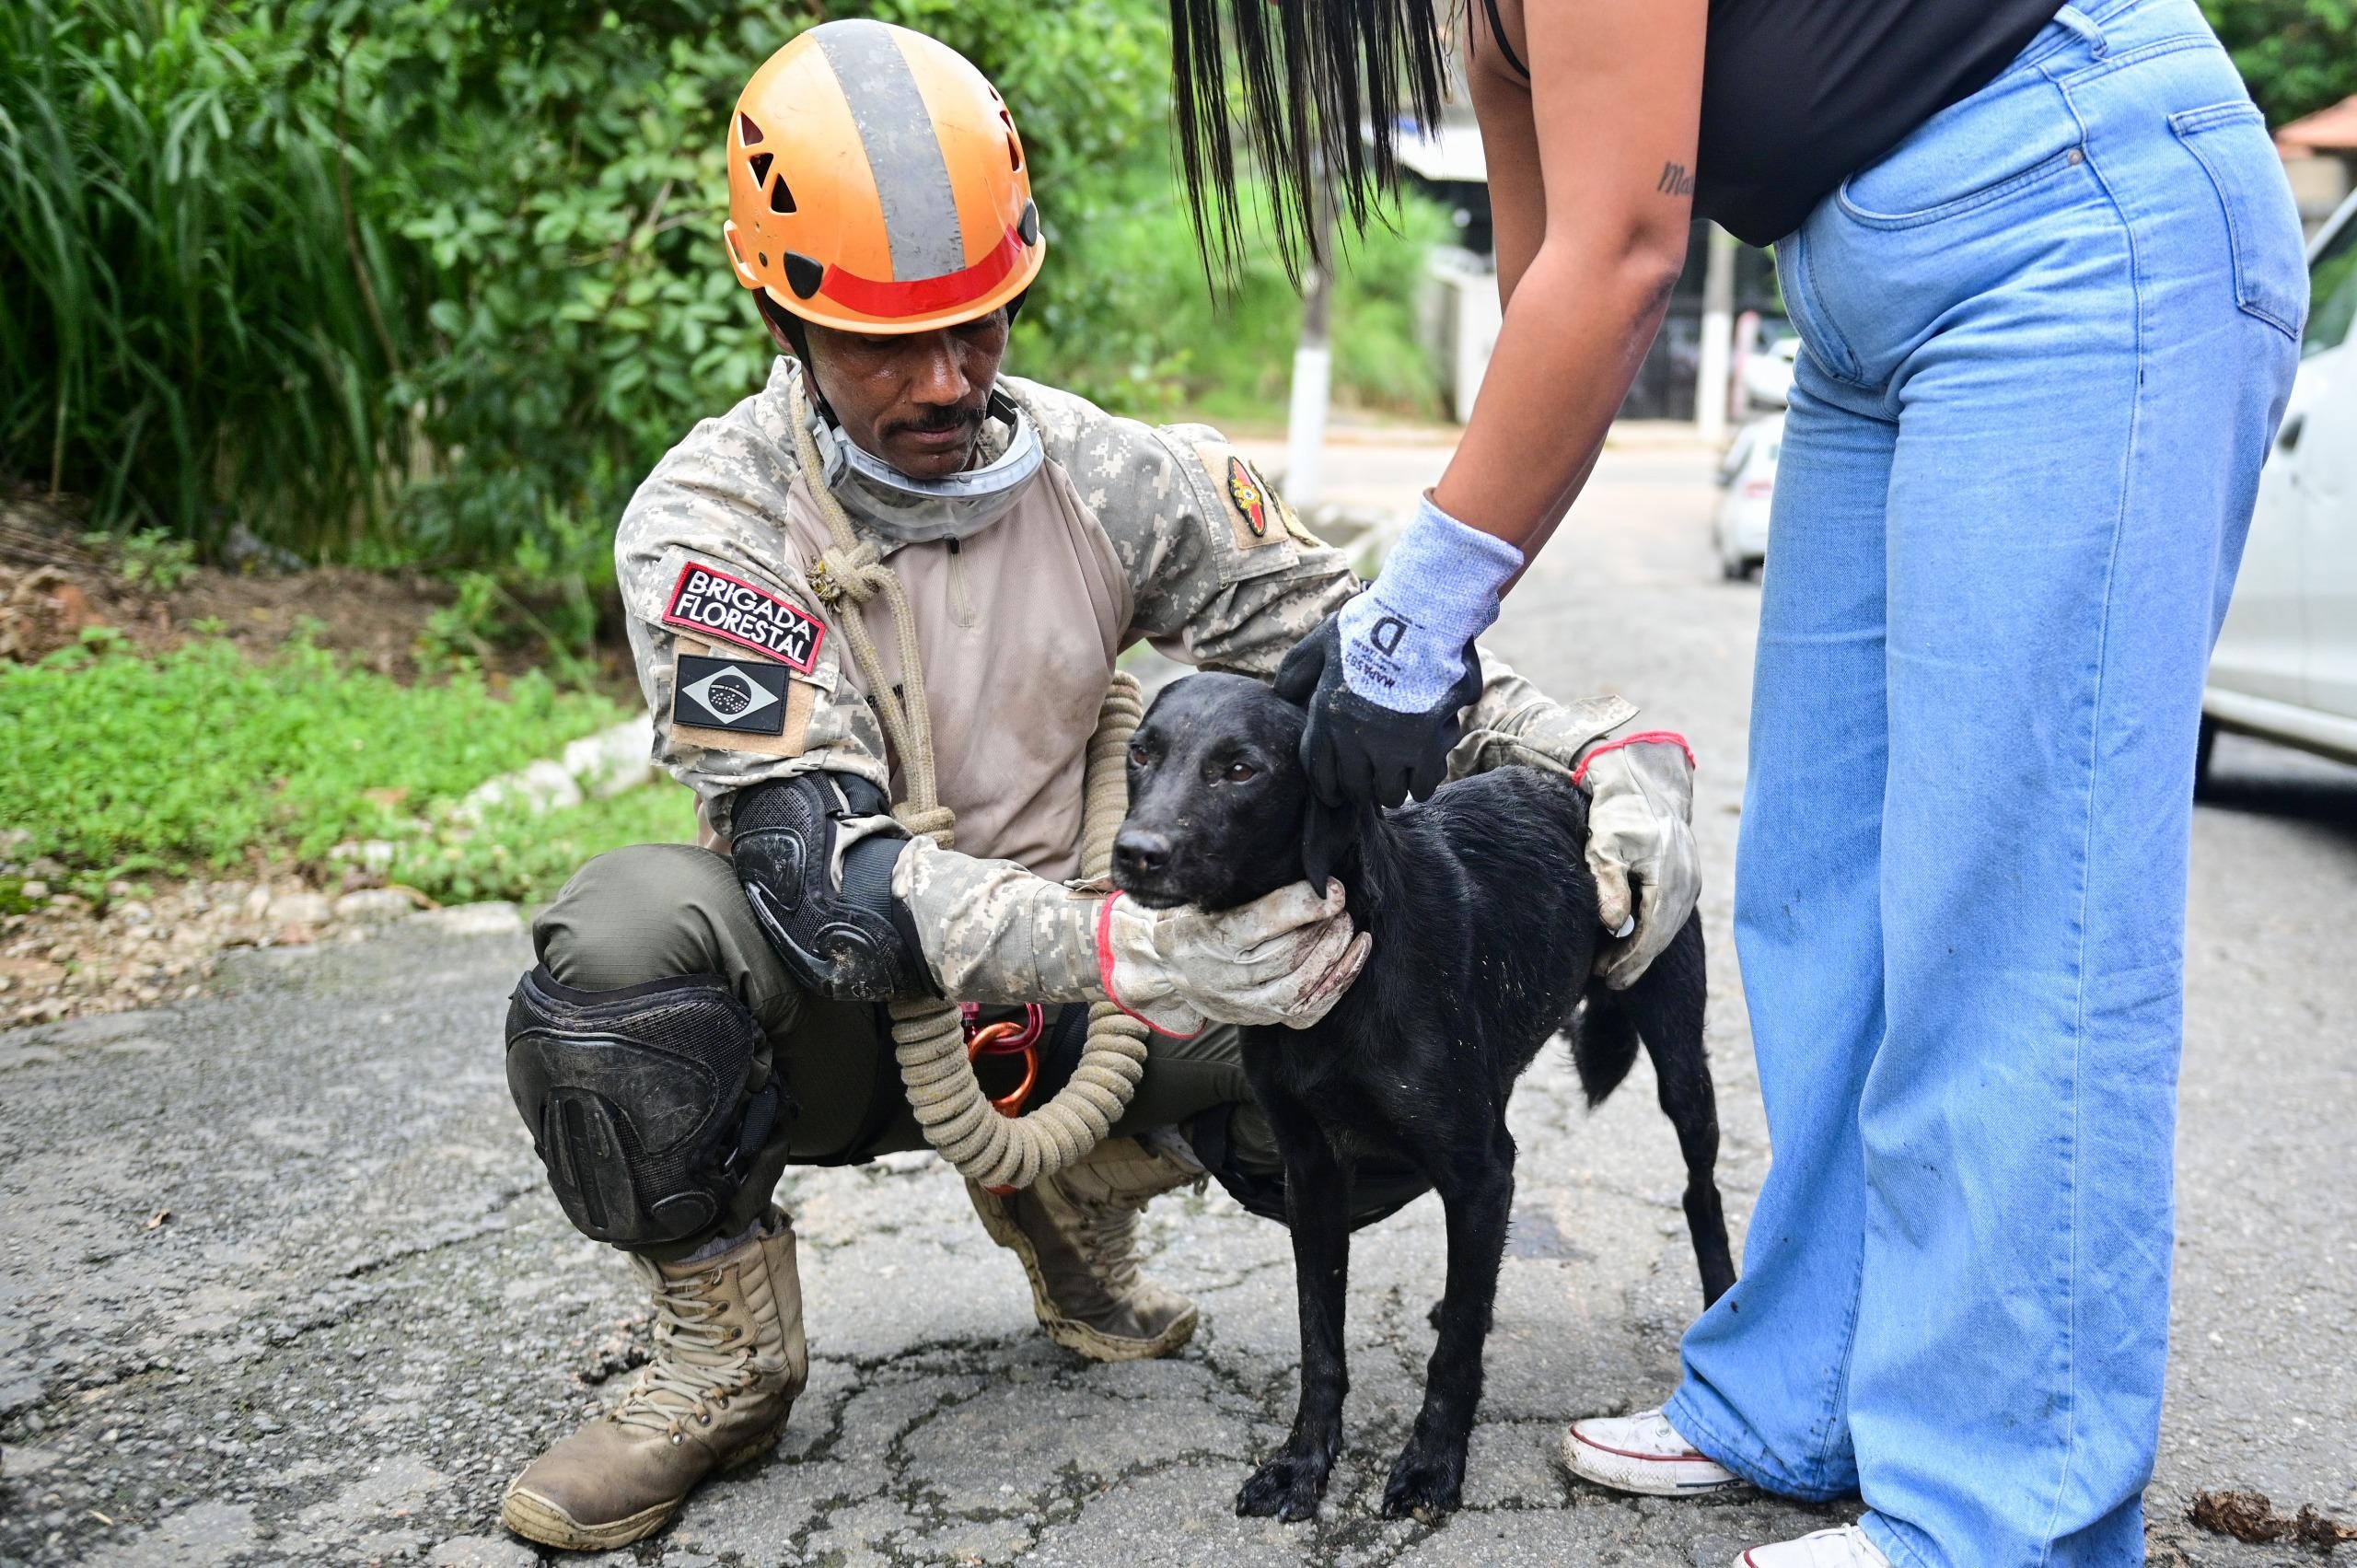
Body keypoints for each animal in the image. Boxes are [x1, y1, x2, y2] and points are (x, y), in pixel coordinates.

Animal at [1103, 674, 1735, 1518]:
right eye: (1141, 752)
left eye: (1240, 769)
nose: (1136, 853)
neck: (1356, 966)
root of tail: (1575, 783)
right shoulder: (1311, 1172)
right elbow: (1320, 1339)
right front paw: (1303, 1462)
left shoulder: (1480, 1170)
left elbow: (1454, 1351)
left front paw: (1433, 1462)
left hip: (1679, 1056)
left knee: (1701, 1188)